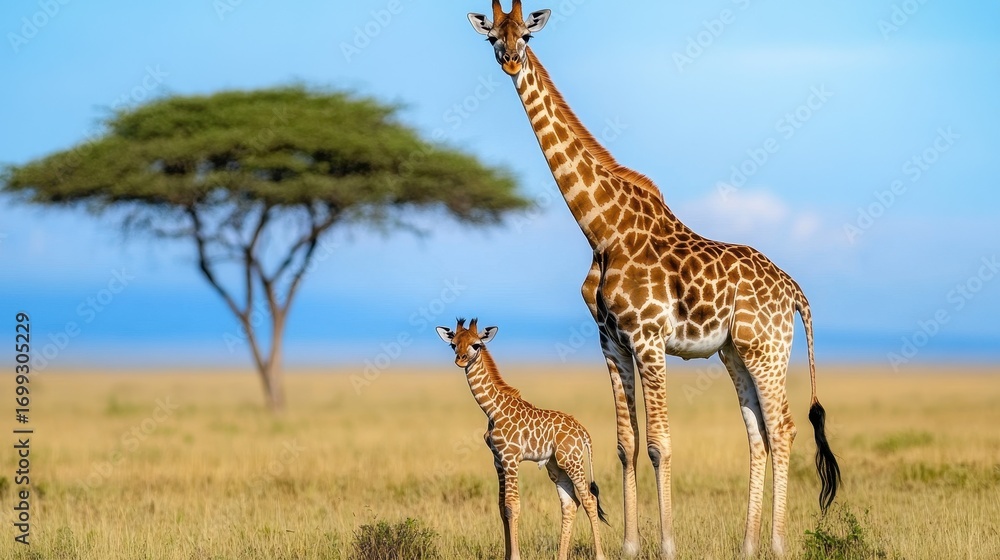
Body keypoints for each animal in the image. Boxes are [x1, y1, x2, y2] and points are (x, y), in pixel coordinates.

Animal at [436, 318, 609, 560]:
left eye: (476, 345)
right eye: (453, 345)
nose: (460, 360)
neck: (493, 409)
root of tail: (583, 432)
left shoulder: (511, 459)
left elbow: (513, 506)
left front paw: (515, 556)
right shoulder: (498, 461)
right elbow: (501, 507)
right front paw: (507, 555)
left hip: (572, 461)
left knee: (589, 500)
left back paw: (600, 555)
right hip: (556, 466)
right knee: (570, 503)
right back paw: (561, 556)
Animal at [467, 2, 841, 558]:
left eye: (526, 36)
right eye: (493, 35)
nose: (510, 60)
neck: (603, 229)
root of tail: (794, 290)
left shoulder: (648, 338)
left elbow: (660, 444)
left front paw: (665, 545)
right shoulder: (611, 341)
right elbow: (626, 445)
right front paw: (628, 545)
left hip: (766, 348)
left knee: (785, 428)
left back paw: (775, 544)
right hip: (734, 352)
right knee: (758, 434)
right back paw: (748, 545)